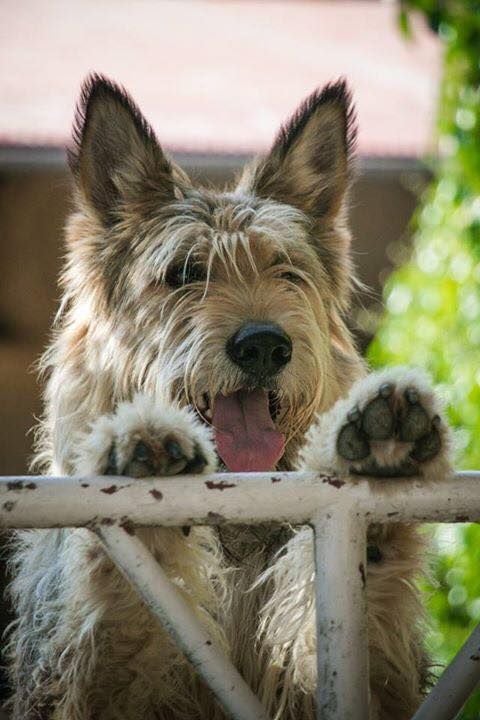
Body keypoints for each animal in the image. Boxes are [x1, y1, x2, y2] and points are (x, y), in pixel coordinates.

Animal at [6, 74, 452, 720]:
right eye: (185, 273)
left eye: (286, 270)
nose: (264, 346)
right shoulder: (91, 682)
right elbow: (124, 625)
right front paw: (143, 461)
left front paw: (380, 464)